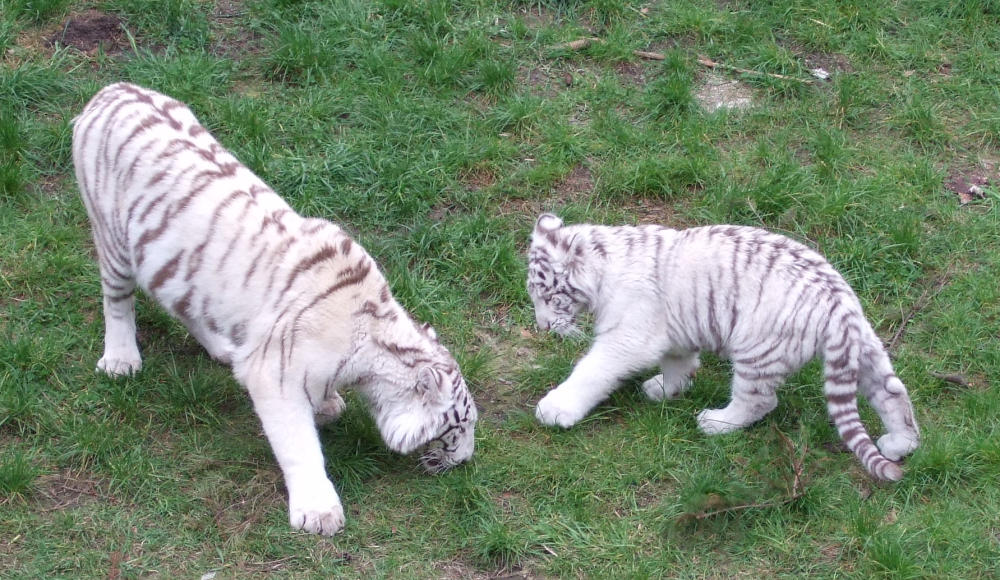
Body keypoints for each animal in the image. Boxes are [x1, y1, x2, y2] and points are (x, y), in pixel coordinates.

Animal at [71, 81, 476, 536]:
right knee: (117, 301)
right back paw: (121, 360)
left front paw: (328, 404)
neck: (373, 344)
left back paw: (224, 349)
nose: (465, 460)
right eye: (457, 427)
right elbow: (299, 445)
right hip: (112, 239)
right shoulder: (274, 376)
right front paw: (319, 513)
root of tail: (111, 90)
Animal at [532, 213, 920, 480]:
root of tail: (839, 304)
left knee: (760, 401)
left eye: (549, 297)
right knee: (892, 394)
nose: (543, 326)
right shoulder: (675, 331)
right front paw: (667, 390)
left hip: (757, 351)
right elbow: (677, 363)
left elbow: (592, 370)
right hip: (864, 346)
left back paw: (716, 423)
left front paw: (555, 408)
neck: (604, 261)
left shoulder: (628, 336)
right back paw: (899, 443)